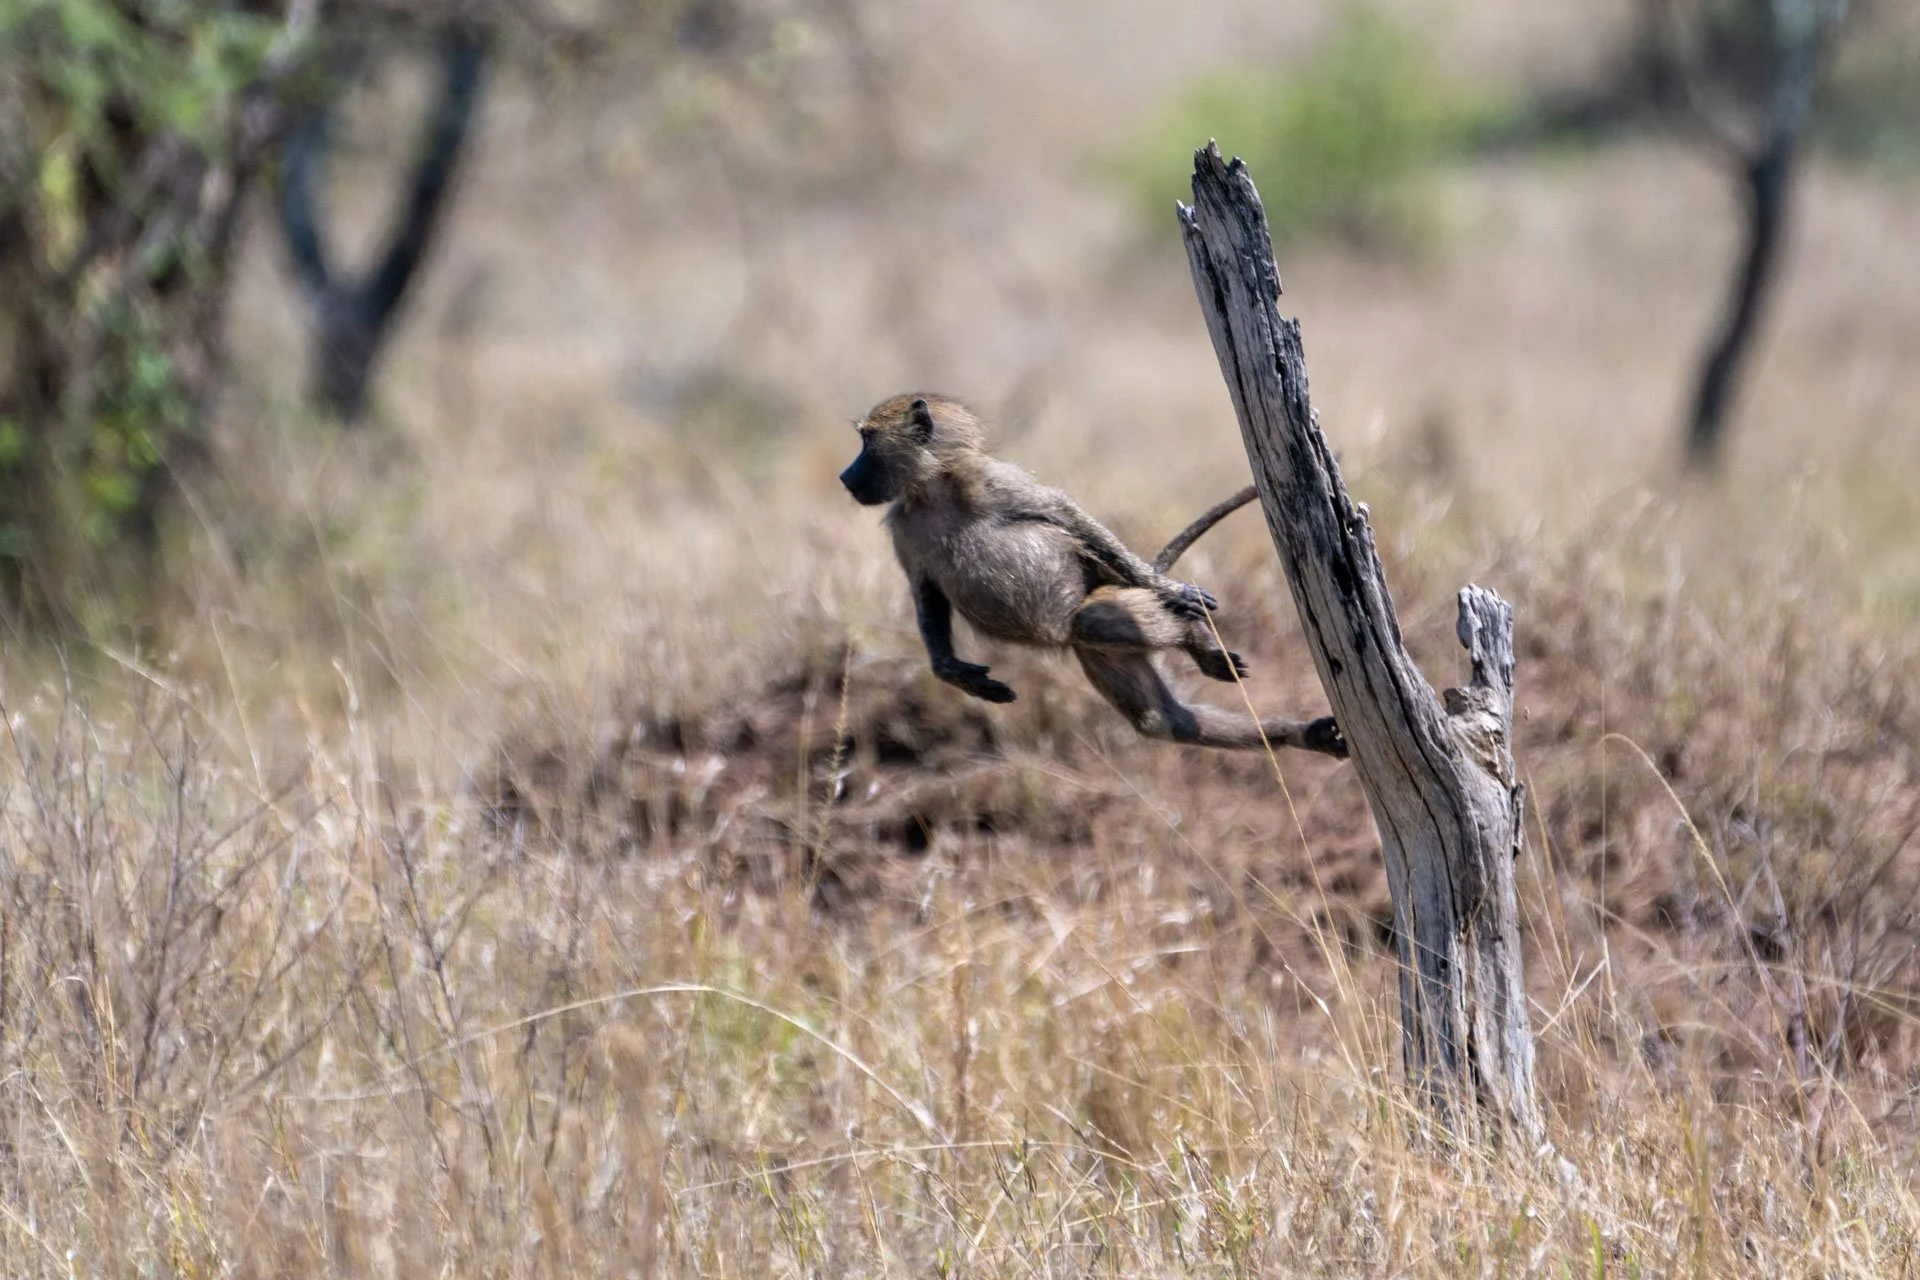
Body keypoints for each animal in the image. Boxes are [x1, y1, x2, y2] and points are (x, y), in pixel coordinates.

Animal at [839, 393, 1346, 757]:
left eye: (866, 442)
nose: (846, 477)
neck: (930, 489)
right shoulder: (903, 530)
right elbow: (926, 592)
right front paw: (955, 674)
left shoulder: (991, 480)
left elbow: (1067, 515)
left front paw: (1173, 589)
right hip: (1100, 652)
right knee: (1163, 721)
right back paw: (1303, 735)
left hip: (1107, 600)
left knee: (1096, 617)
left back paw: (1193, 634)